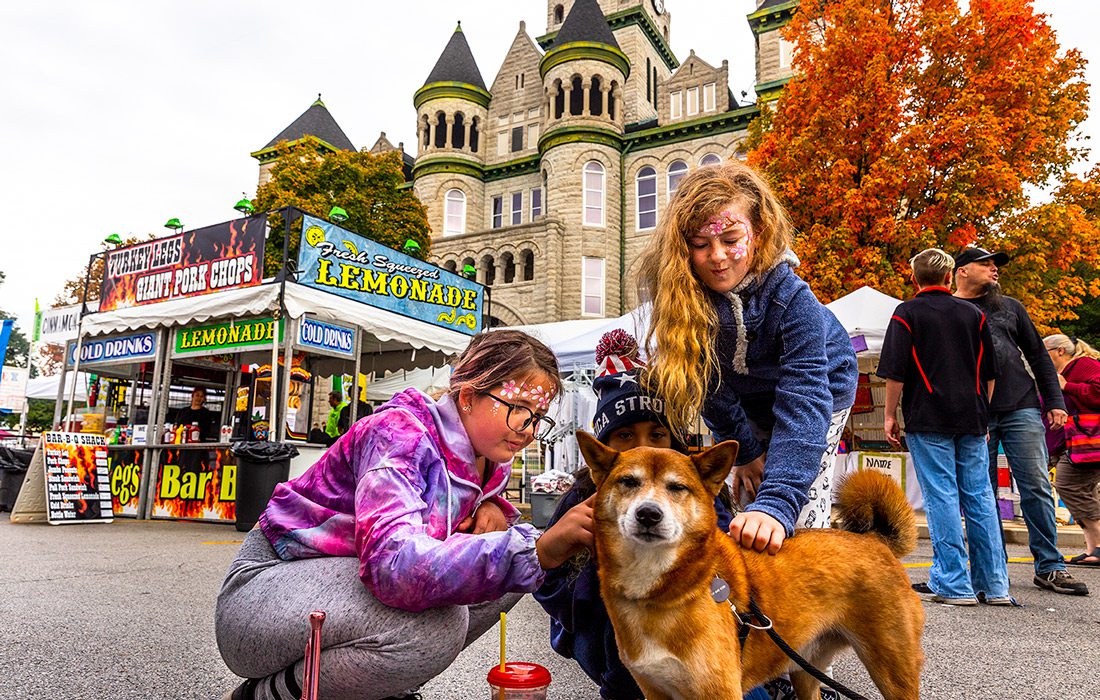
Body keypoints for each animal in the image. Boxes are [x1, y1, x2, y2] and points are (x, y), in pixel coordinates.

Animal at [580, 431, 924, 700]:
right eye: (628, 482)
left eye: (677, 487)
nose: (648, 514)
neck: (662, 593)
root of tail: (875, 541)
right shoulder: (655, 690)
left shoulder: (719, 692)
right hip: (805, 667)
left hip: (893, 672)